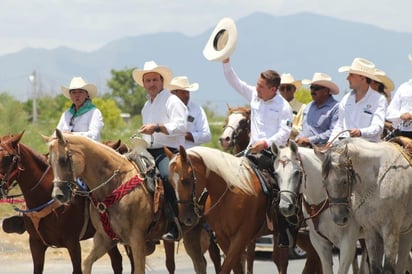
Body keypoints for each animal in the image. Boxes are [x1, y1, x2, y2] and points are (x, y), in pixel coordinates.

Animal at [320, 139, 412, 274]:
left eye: (344, 181)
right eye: (324, 182)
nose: (339, 218)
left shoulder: (390, 231)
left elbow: (388, 269)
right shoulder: (370, 231)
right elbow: (375, 267)